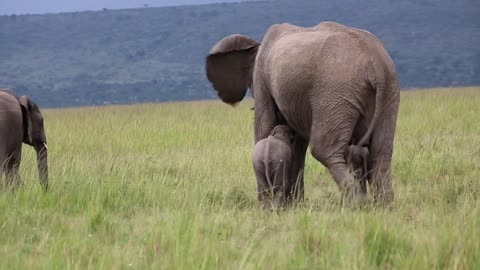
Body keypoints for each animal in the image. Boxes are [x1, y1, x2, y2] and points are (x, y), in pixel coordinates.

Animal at [204, 22, 400, 205]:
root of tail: (377, 65)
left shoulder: (262, 79)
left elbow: (264, 128)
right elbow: (296, 143)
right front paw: (294, 205)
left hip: (336, 92)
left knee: (323, 150)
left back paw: (358, 203)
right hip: (388, 93)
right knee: (380, 152)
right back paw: (383, 205)